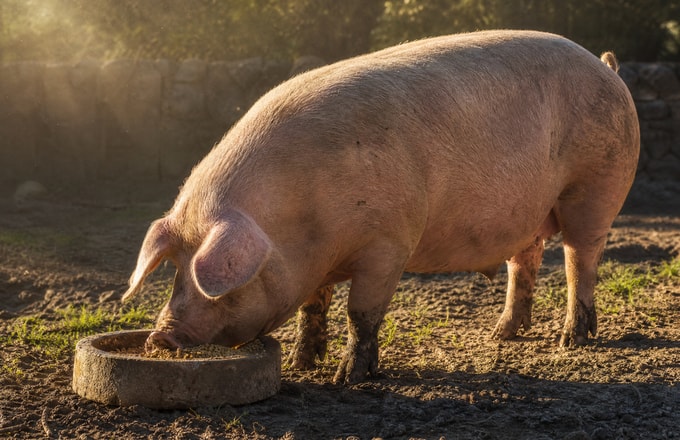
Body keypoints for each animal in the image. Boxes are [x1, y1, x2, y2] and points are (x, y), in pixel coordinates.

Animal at [122, 30, 639, 384]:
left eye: (214, 283)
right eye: (176, 269)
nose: (160, 336)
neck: (300, 224)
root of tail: (608, 68)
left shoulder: (388, 244)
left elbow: (361, 314)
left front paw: (346, 379)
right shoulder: (318, 264)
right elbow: (313, 307)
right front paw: (302, 364)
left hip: (595, 187)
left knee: (580, 261)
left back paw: (571, 340)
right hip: (529, 212)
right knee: (525, 262)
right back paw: (501, 335)